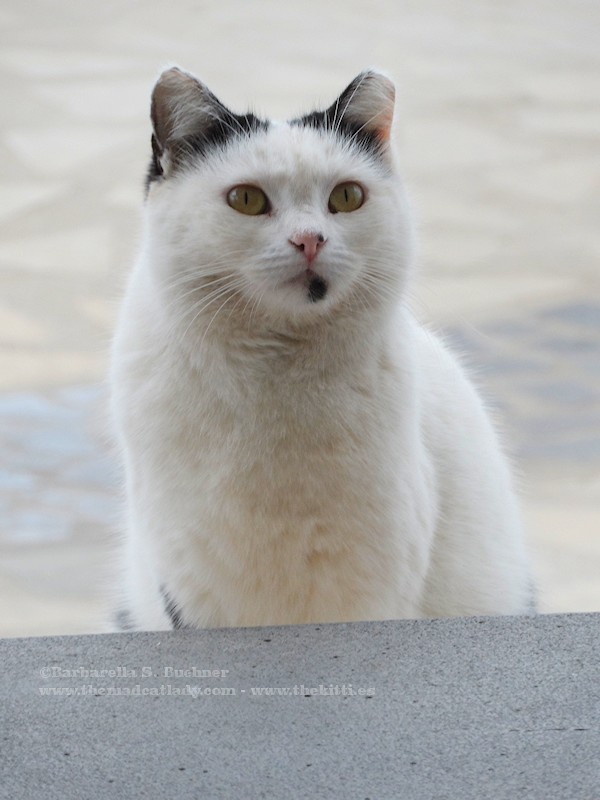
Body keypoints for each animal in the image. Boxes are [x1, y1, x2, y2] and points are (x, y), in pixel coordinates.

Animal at [111, 67, 536, 632]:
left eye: (348, 196)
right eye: (246, 200)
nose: (310, 239)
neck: (276, 380)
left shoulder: (376, 584)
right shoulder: (187, 584)